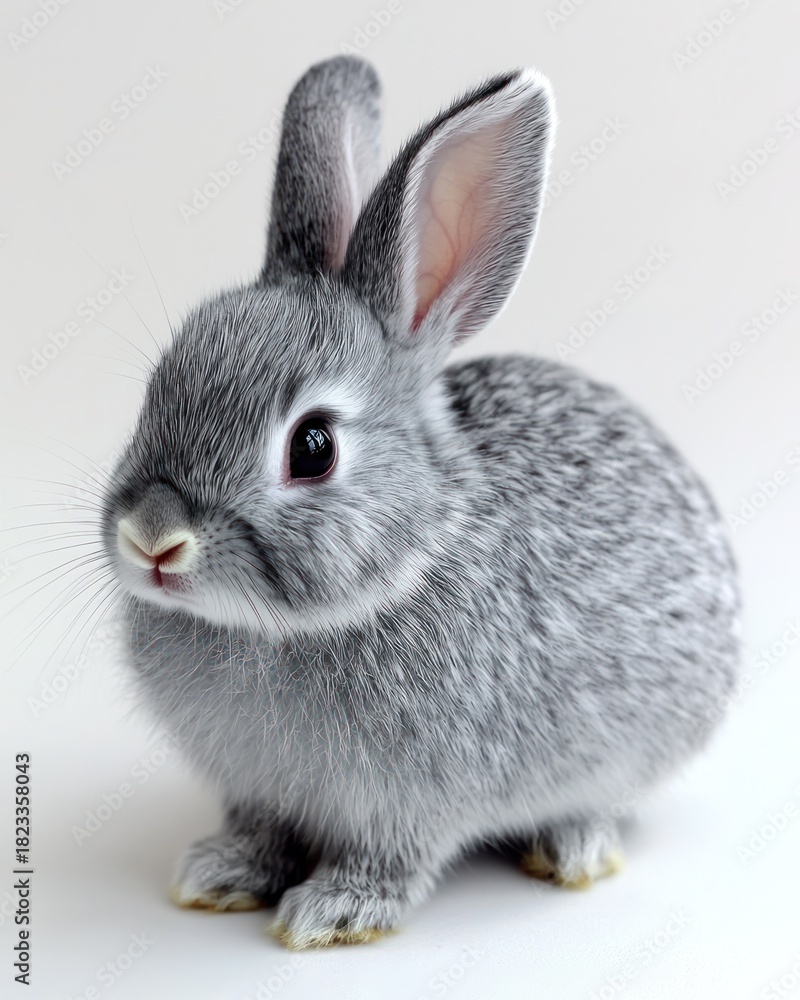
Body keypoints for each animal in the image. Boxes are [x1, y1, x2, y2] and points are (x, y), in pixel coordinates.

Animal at [100, 55, 740, 949]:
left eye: (313, 447)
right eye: (156, 392)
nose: (153, 537)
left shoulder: (416, 799)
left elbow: (393, 858)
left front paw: (336, 910)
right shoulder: (256, 786)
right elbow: (260, 830)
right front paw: (221, 872)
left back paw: (572, 849)